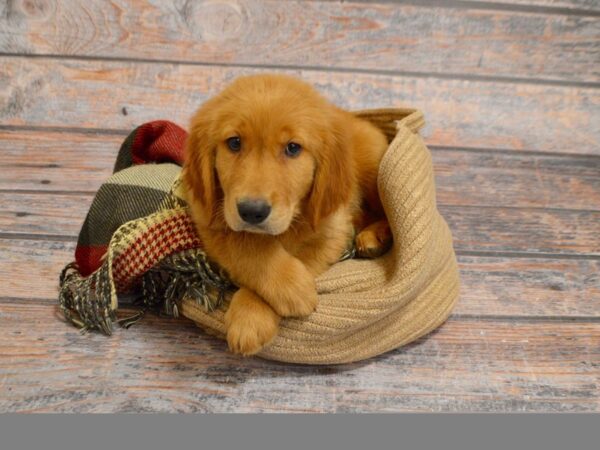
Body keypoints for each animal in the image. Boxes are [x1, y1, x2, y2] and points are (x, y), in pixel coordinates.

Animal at [180, 74, 392, 356]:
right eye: (234, 143)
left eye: (293, 148)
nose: (252, 211)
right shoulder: (208, 218)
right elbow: (245, 244)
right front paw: (282, 291)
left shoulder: (331, 230)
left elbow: (301, 251)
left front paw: (254, 312)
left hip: (374, 166)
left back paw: (374, 237)